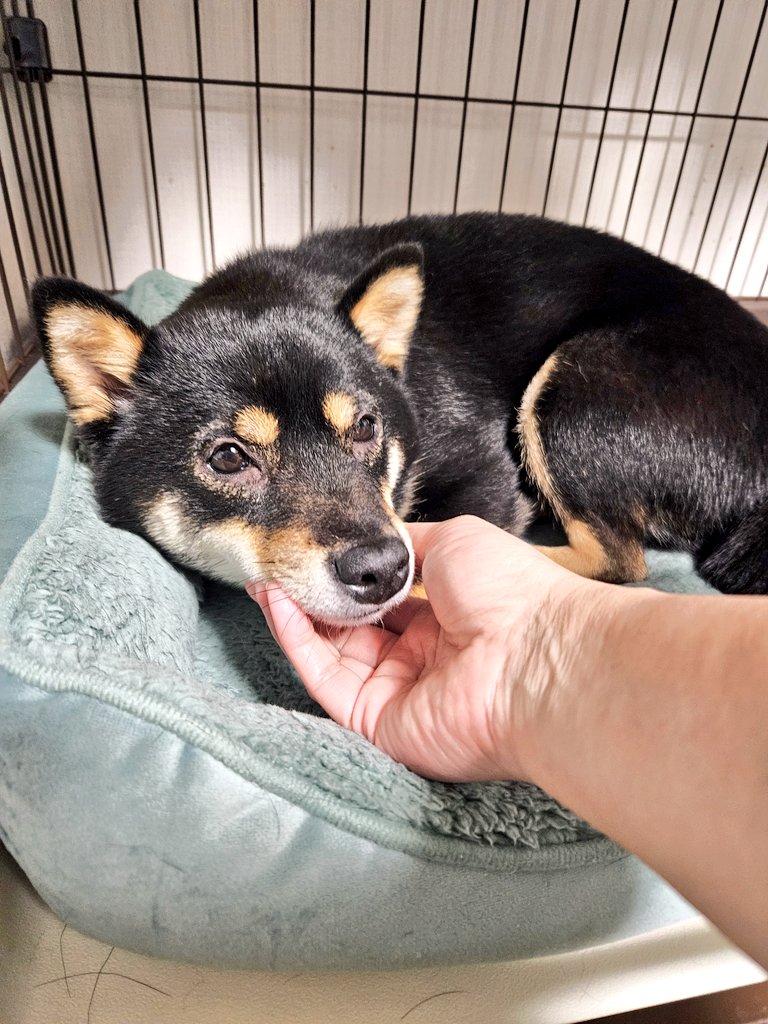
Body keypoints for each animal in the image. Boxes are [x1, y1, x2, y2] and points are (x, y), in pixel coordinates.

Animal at [30, 211, 768, 618]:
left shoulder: (483, 464)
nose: (382, 567)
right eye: (228, 457)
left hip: (574, 397)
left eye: (365, 427)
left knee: (621, 563)